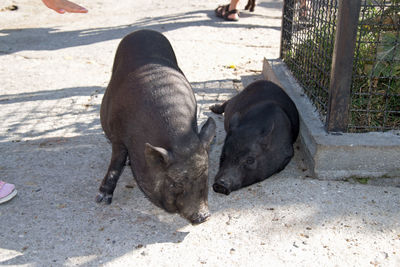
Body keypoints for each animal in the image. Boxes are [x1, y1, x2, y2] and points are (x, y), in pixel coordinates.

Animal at [96, 29, 216, 225]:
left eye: (205, 177)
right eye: (176, 183)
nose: (204, 216)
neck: (179, 139)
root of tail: (143, 31)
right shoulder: (118, 137)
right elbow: (116, 162)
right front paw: (102, 199)